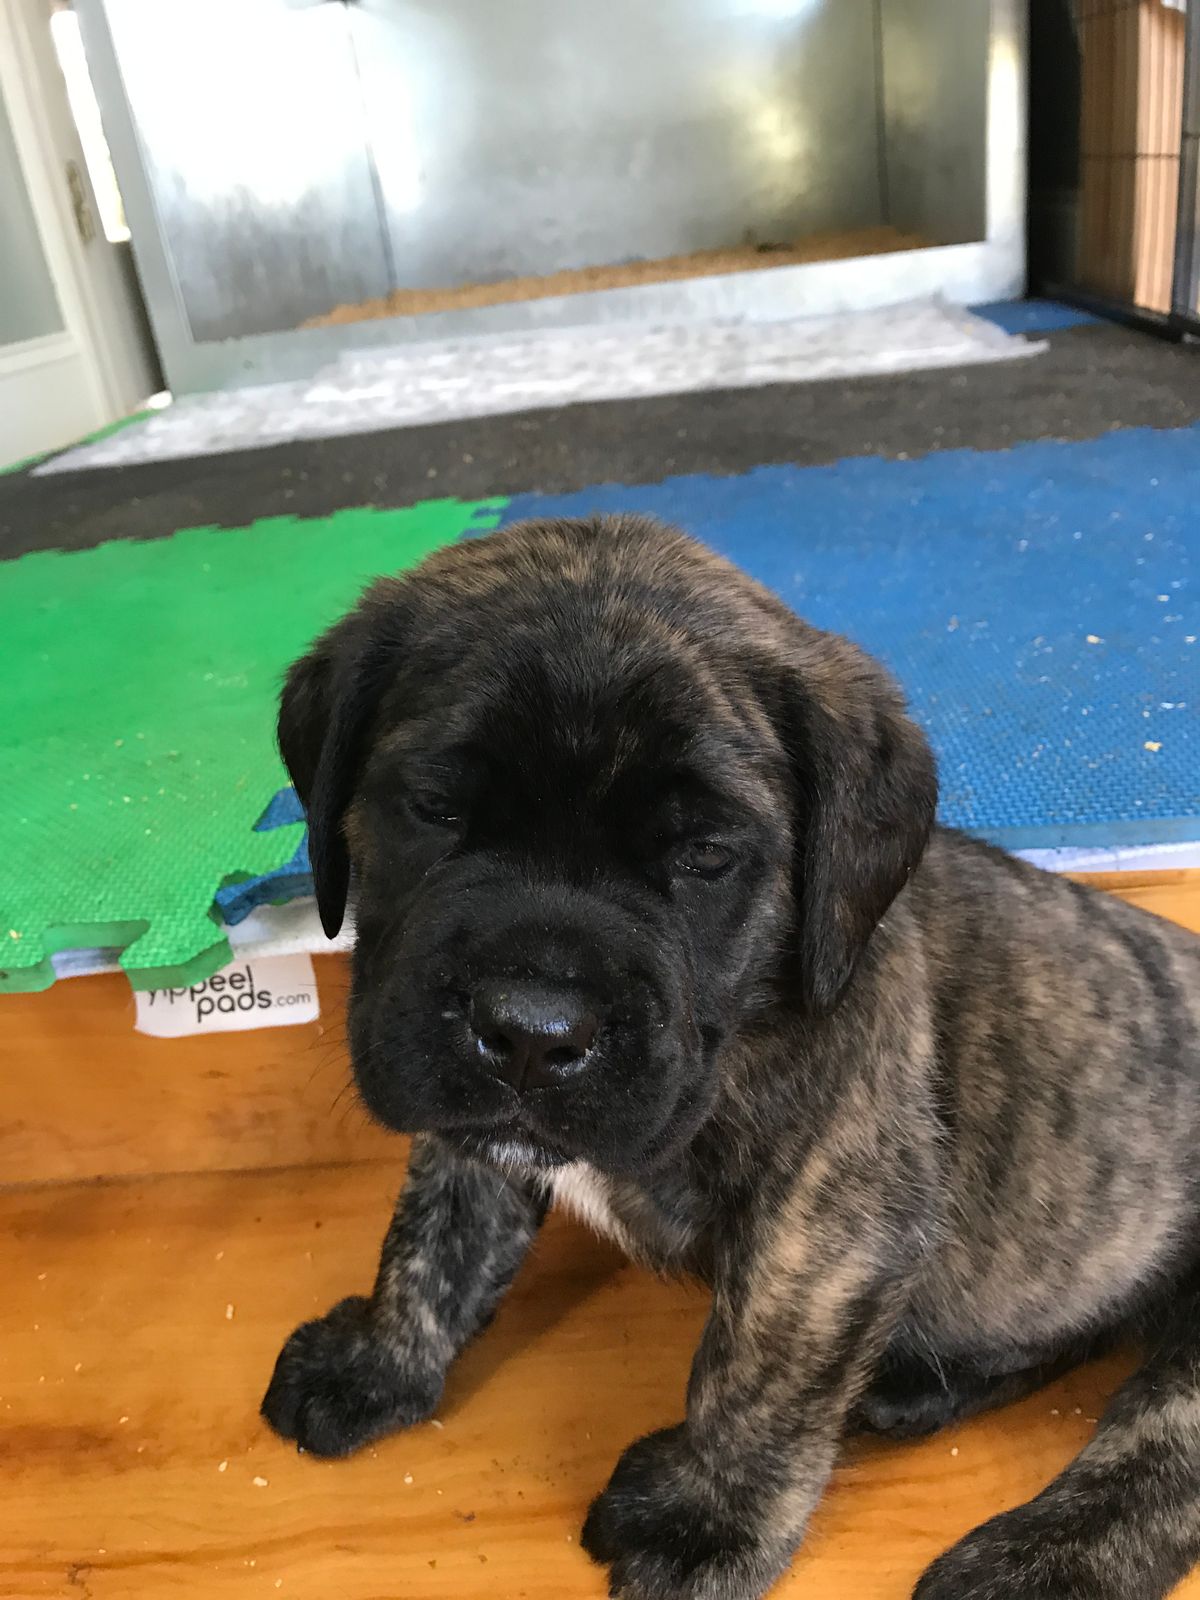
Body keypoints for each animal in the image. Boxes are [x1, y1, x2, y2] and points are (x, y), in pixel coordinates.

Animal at [261, 514, 1200, 1600]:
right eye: (434, 809)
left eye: (705, 856)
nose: (533, 1028)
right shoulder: (467, 1118)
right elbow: (432, 1242)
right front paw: (377, 1361)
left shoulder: (828, 1222)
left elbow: (756, 1371)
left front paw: (707, 1520)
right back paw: (916, 1387)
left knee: (1159, 1449)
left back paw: (1036, 1562)